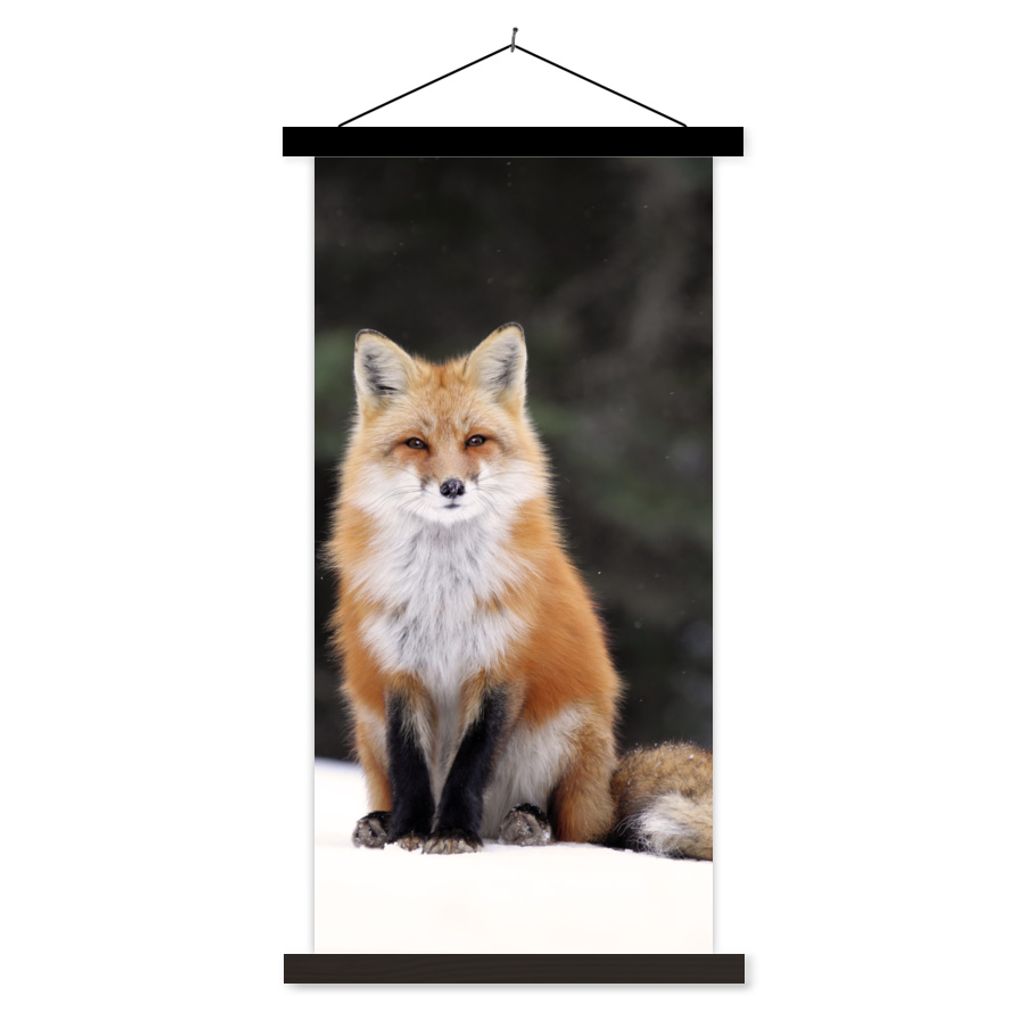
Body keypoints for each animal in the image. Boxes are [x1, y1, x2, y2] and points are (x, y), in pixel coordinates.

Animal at [325, 322, 712, 858]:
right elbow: (411, 769)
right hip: (369, 725)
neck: (444, 594)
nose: (452, 486)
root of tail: (605, 792)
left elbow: (470, 765)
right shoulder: (399, 670)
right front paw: (409, 832)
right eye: (416, 443)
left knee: (576, 829)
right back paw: (378, 823)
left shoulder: (500, 667)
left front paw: (452, 833)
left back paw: (528, 823)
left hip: (564, 734)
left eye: (476, 440)